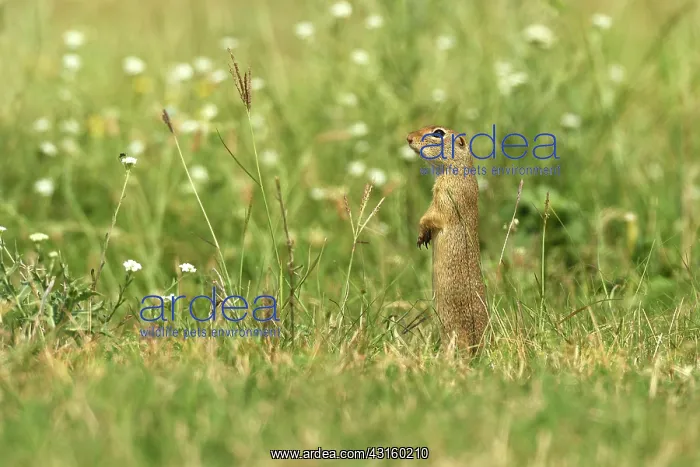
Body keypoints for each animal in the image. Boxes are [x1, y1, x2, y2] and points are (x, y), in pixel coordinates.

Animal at [406, 125, 488, 354]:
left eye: (438, 133)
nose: (408, 138)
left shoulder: (446, 195)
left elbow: (432, 215)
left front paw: (421, 233)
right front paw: (423, 238)